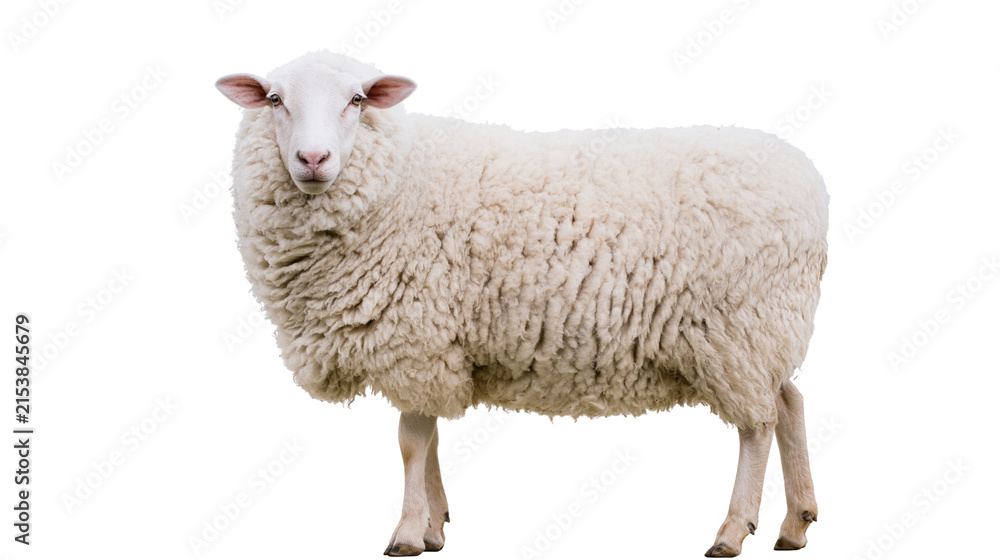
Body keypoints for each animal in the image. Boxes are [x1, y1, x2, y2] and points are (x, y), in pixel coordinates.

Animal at [216, 50, 828, 558]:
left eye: (357, 100)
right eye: (275, 100)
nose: (312, 157)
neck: (402, 180)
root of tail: (811, 183)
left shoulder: (418, 340)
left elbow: (412, 441)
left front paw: (408, 533)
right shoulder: (439, 345)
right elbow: (430, 436)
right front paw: (435, 526)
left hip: (740, 330)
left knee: (758, 425)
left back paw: (732, 531)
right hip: (766, 330)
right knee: (790, 403)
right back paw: (795, 523)